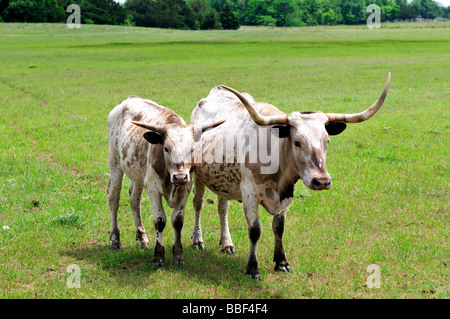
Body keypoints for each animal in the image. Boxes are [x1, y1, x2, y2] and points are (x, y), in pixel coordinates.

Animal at [190, 74, 390, 278]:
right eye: (297, 142)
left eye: (326, 141)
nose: (322, 181)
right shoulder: (249, 194)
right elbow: (255, 230)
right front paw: (252, 268)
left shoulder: (287, 195)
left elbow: (279, 228)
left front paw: (281, 262)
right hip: (197, 176)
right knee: (198, 204)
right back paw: (197, 240)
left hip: (223, 182)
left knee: (222, 208)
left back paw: (227, 243)